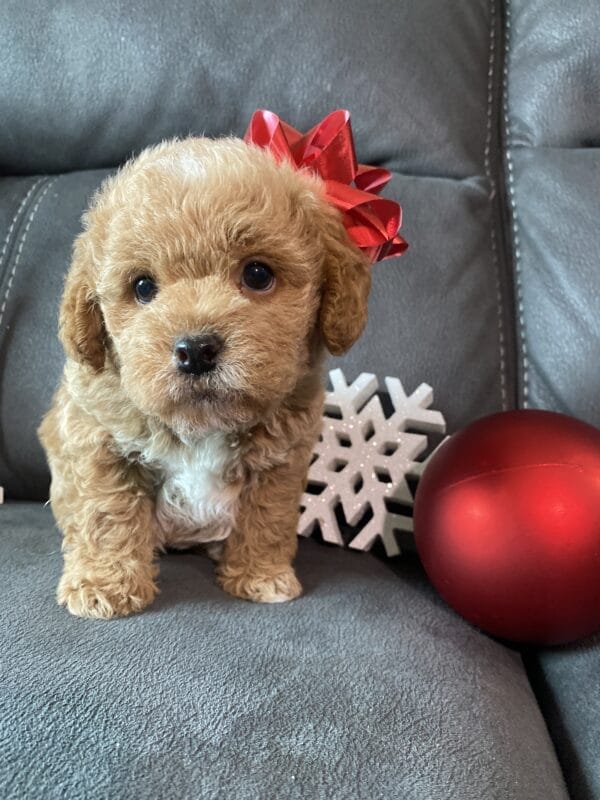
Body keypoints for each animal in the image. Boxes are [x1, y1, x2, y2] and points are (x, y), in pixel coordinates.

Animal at [38, 136, 370, 620]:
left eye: (257, 274)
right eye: (142, 287)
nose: (195, 350)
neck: (202, 424)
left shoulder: (281, 459)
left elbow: (267, 517)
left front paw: (260, 575)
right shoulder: (98, 441)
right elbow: (107, 515)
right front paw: (106, 585)